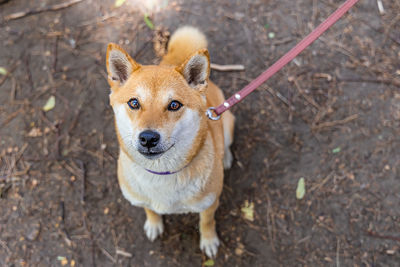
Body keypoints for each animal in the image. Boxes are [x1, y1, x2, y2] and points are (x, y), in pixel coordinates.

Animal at [106, 26, 236, 258]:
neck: (161, 175)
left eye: (174, 105)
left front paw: (209, 240)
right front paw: (154, 223)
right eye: (134, 103)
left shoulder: (210, 204)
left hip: (227, 122)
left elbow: (207, 222)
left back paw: (226, 158)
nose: (148, 137)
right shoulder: (143, 199)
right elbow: (149, 209)